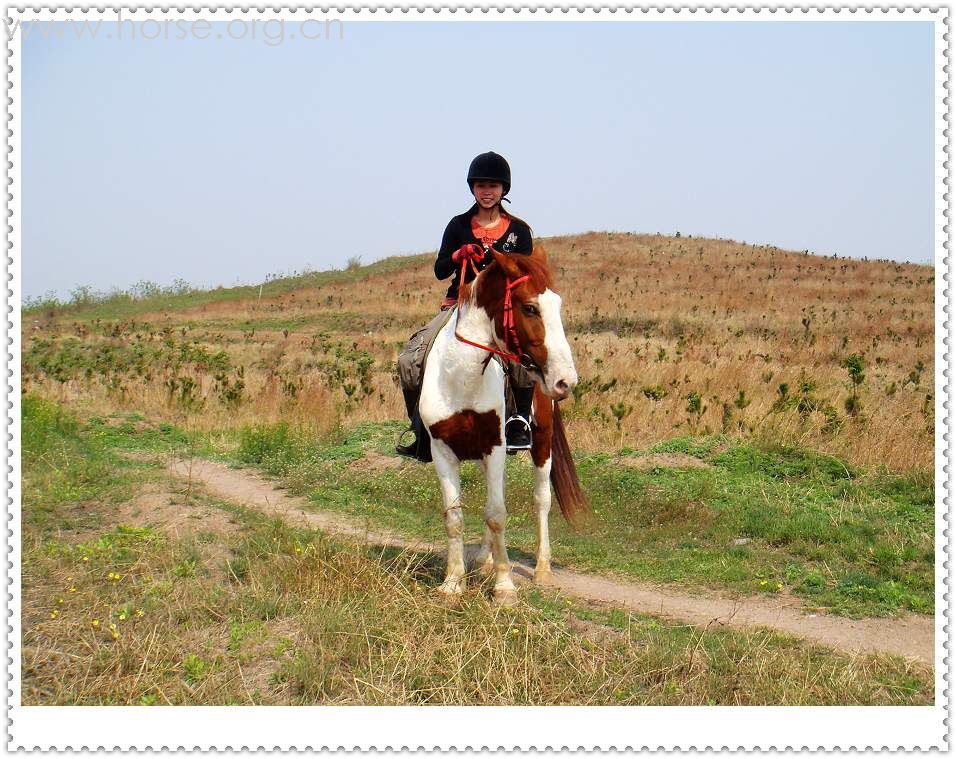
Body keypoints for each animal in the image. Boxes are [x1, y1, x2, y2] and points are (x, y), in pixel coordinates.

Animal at [420, 246, 592, 604]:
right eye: (530, 307)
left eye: (557, 305)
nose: (566, 381)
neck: (462, 377)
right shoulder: (442, 449)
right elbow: (455, 516)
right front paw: (453, 583)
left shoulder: (496, 444)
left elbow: (497, 513)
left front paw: (504, 587)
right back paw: (485, 560)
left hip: (541, 442)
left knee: (541, 499)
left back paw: (541, 569)